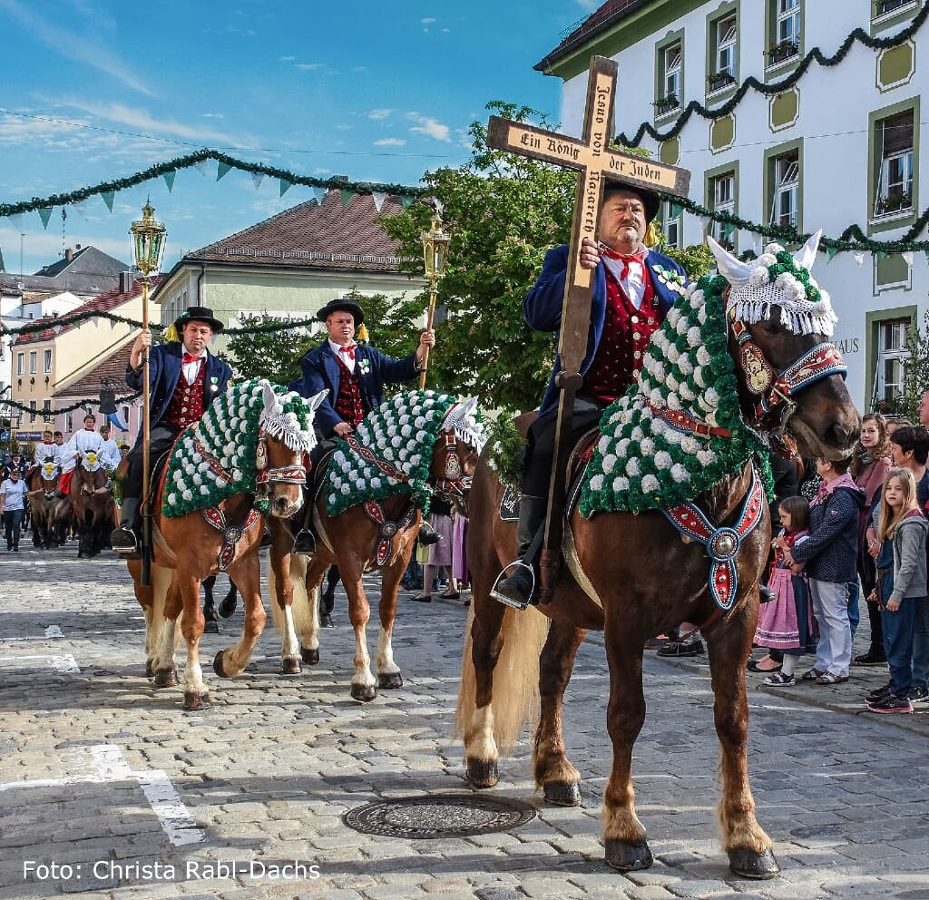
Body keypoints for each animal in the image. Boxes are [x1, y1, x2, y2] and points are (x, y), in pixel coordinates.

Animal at [127, 380, 322, 712]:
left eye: (307, 445)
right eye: (275, 438)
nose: (291, 503)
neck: (221, 494)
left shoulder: (244, 562)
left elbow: (256, 618)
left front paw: (228, 662)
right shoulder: (190, 567)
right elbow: (194, 623)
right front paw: (196, 688)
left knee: (170, 606)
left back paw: (166, 666)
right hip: (142, 563)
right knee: (150, 605)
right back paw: (154, 657)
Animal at [266, 390, 486, 700]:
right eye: (468, 446)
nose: (481, 496)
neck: (382, 490)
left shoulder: (400, 559)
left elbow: (387, 609)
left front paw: (388, 668)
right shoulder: (350, 559)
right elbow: (360, 610)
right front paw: (363, 679)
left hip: (323, 552)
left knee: (311, 583)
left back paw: (310, 644)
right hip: (283, 542)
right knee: (285, 591)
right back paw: (291, 654)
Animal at [456, 234, 864, 880]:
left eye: (825, 322)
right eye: (774, 324)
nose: (844, 430)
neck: (696, 480)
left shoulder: (736, 616)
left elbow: (733, 720)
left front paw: (747, 837)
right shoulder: (627, 617)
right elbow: (627, 713)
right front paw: (624, 829)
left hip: (572, 607)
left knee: (553, 672)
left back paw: (555, 771)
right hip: (491, 580)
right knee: (488, 655)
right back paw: (482, 757)